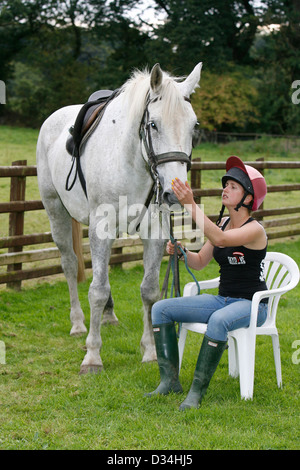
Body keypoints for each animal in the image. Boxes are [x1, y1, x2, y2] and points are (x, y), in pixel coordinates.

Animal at [37, 62, 202, 372]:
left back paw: (108, 316)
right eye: (153, 124)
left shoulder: (154, 232)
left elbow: (149, 291)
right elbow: (97, 290)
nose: (175, 194)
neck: (131, 161)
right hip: (56, 212)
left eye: (193, 127)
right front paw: (92, 356)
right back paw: (78, 323)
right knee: (69, 264)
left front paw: (150, 350)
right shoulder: (99, 228)